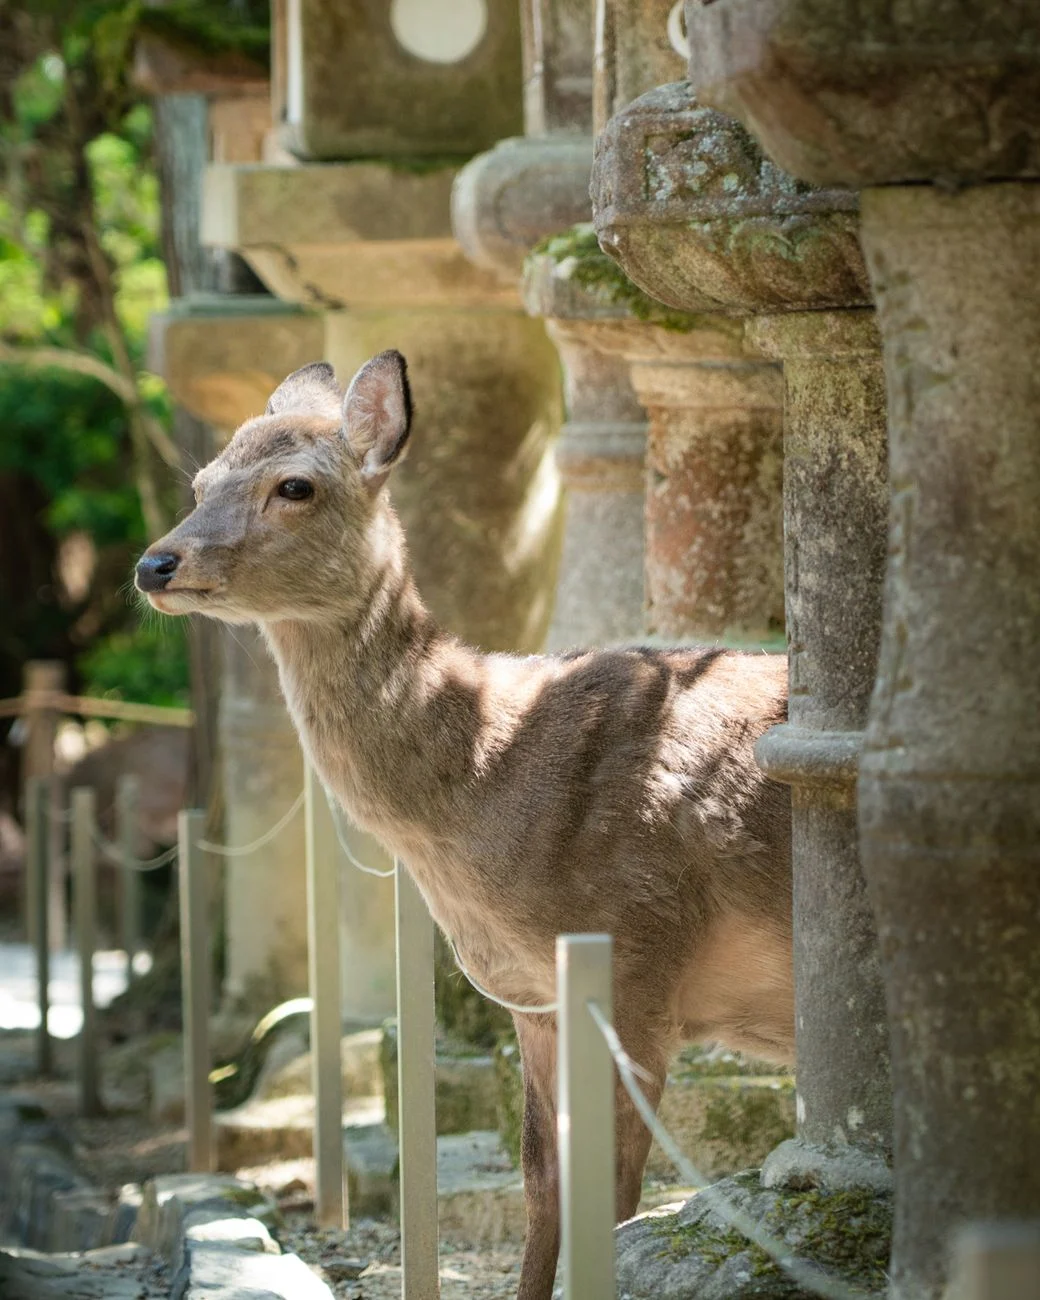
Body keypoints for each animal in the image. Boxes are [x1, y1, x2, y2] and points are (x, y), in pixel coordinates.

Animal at [136, 351, 793, 1300]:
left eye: (294, 485)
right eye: (200, 481)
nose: (156, 563)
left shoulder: (639, 957)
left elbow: (614, 1189)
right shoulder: (534, 999)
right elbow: (541, 1180)